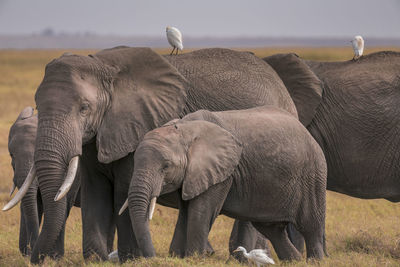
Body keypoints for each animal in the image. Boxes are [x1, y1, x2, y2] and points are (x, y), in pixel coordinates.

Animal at [5, 46, 306, 264]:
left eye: (84, 108)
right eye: (37, 104)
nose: (35, 258)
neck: (104, 67)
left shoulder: (140, 123)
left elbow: (123, 190)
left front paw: (130, 259)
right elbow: (96, 189)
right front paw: (97, 259)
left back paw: (245, 256)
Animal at [128, 106, 328, 262]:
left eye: (166, 166)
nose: (152, 258)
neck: (185, 129)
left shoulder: (222, 173)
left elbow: (200, 211)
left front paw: (193, 259)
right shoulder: (191, 174)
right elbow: (185, 212)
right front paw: (177, 257)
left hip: (313, 175)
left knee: (311, 226)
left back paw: (314, 262)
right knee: (272, 229)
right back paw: (293, 261)